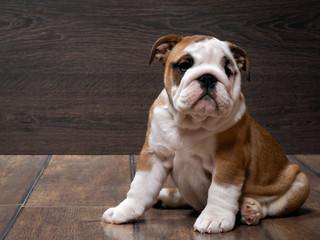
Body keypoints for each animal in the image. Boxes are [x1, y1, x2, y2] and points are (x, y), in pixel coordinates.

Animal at [102, 34, 310, 233]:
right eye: (184, 66)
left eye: (228, 70)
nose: (208, 77)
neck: (192, 122)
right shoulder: (154, 155)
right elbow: (140, 186)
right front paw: (125, 209)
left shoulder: (228, 159)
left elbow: (221, 190)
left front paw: (215, 218)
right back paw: (167, 195)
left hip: (301, 182)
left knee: (271, 207)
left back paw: (251, 210)